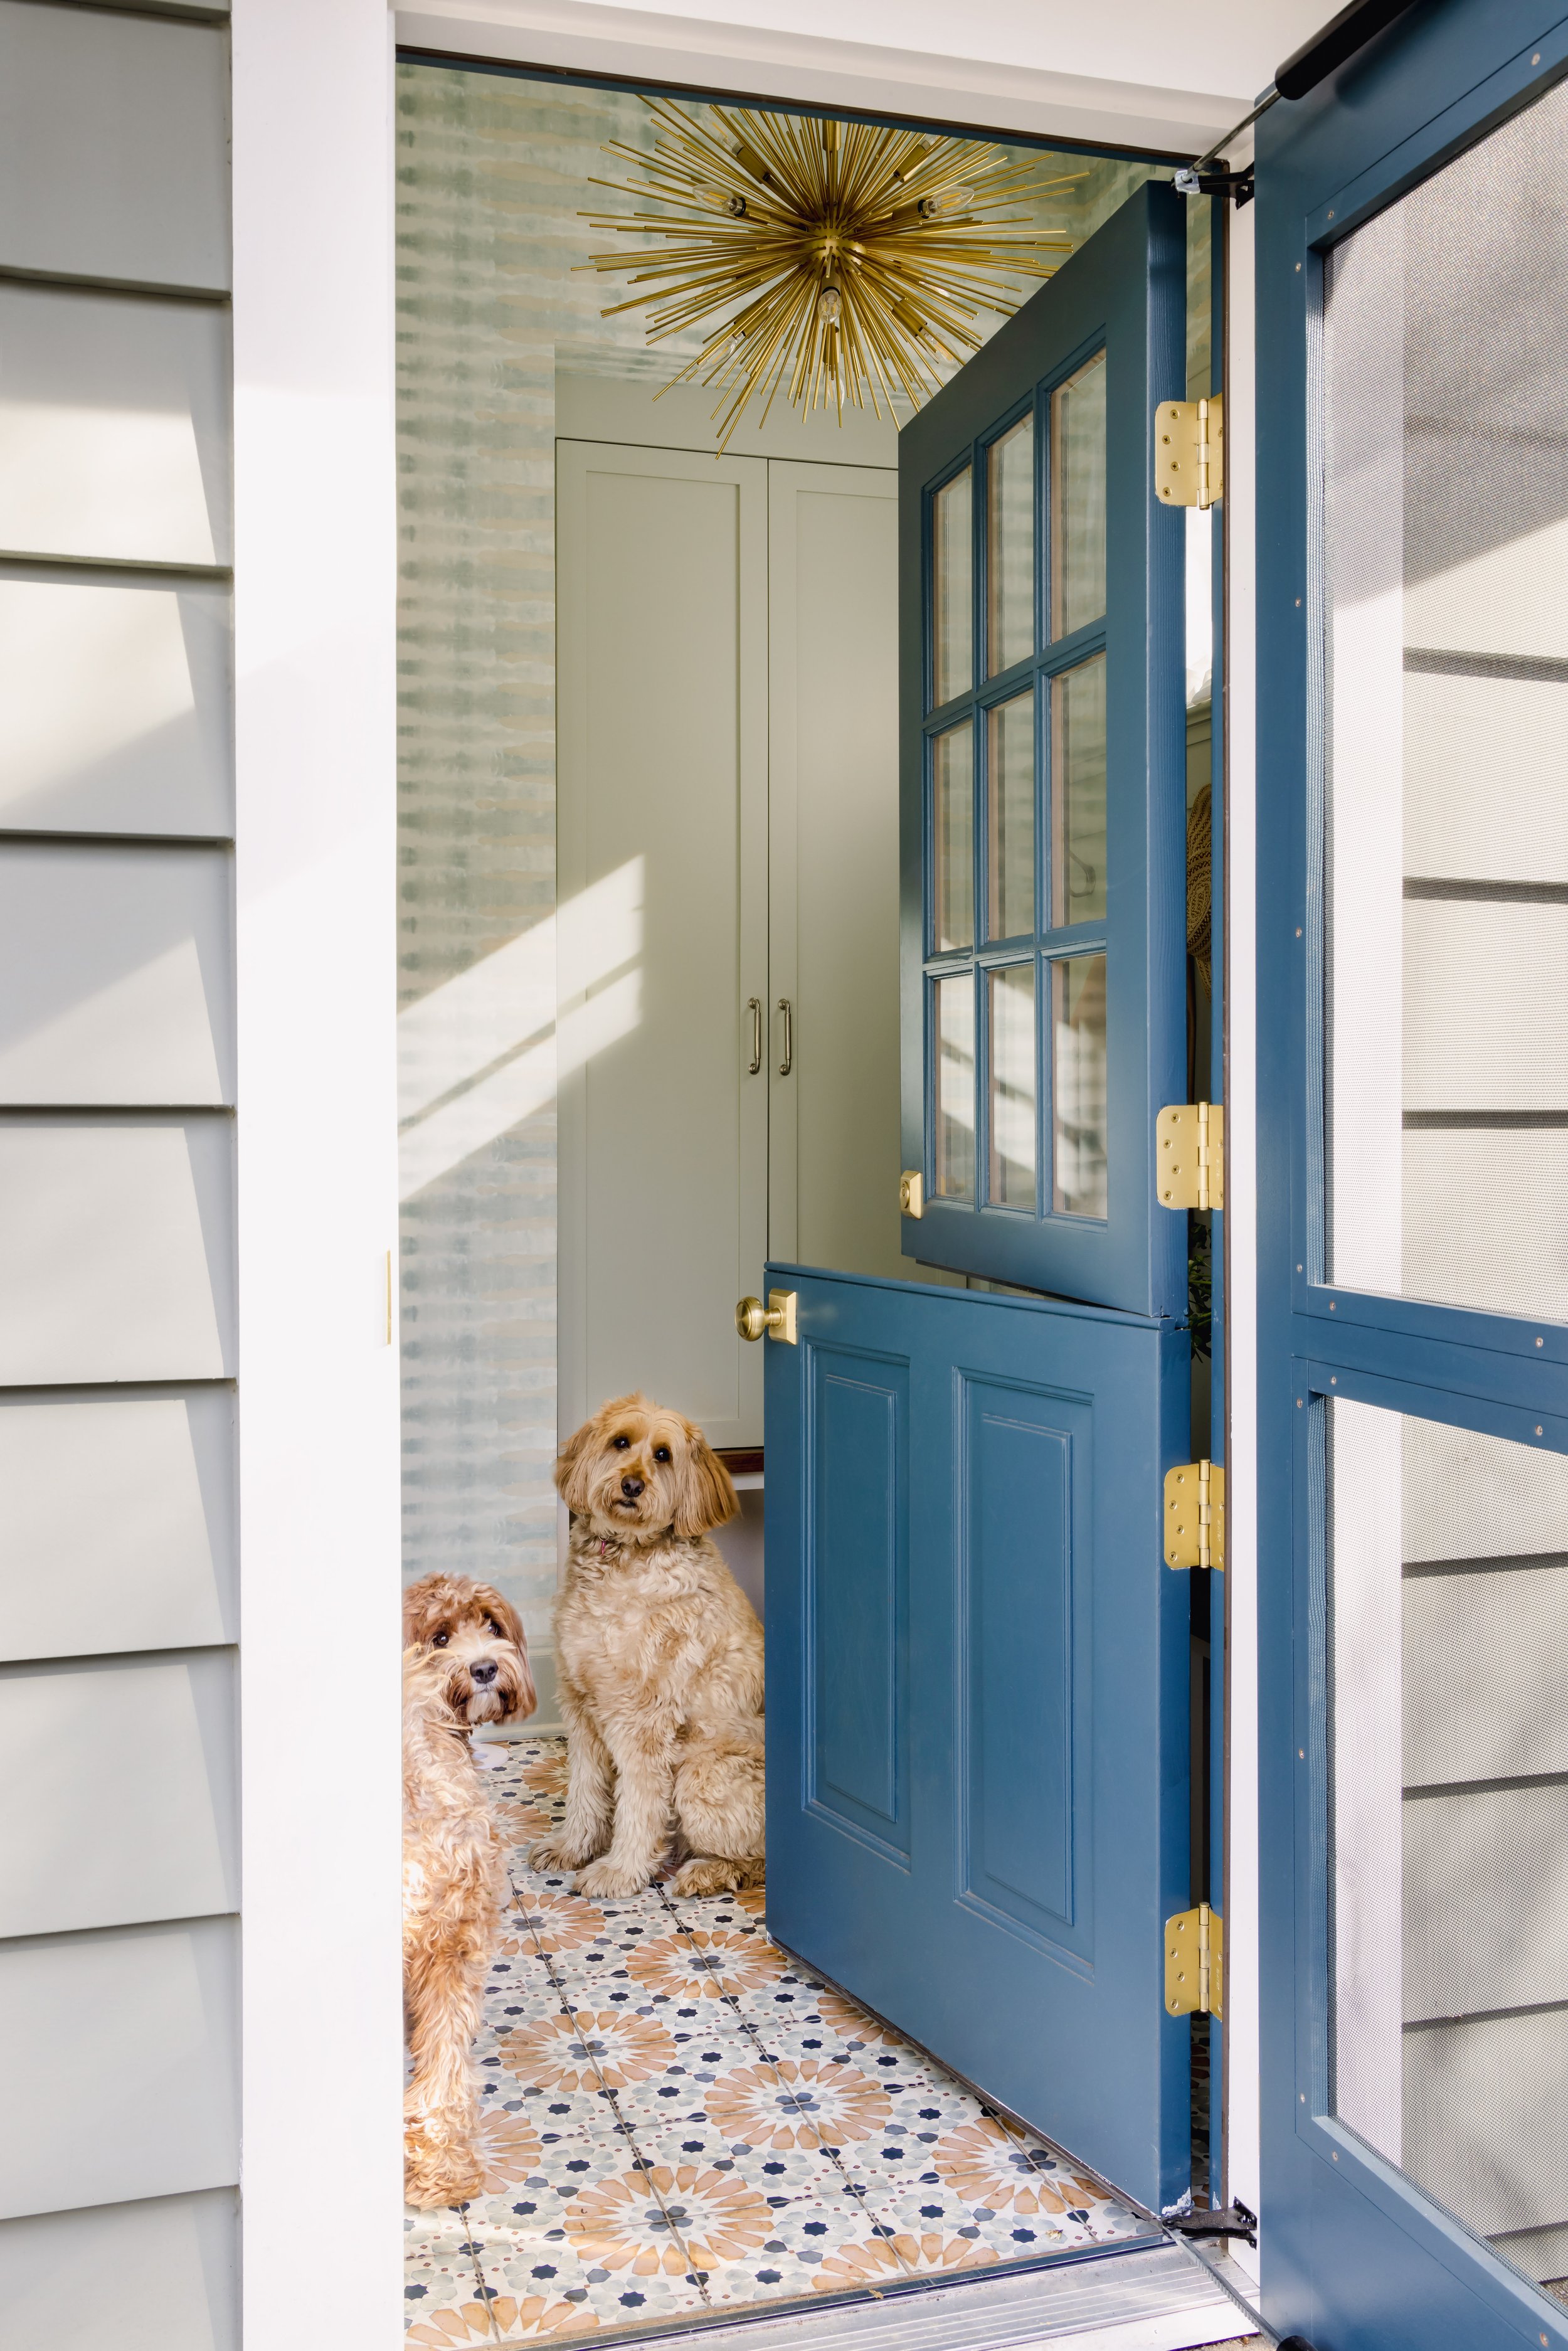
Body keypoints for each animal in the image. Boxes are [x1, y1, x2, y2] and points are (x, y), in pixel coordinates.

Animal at [533, 1382, 766, 1899]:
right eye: (621, 1442)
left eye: (663, 1455)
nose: (632, 1486)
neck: (624, 1556)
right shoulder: (581, 1707)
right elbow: (584, 1790)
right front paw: (572, 1847)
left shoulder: (642, 1720)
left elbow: (638, 1806)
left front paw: (618, 1871)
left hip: (702, 1774)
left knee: (760, 1860)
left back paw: (707, 1872)